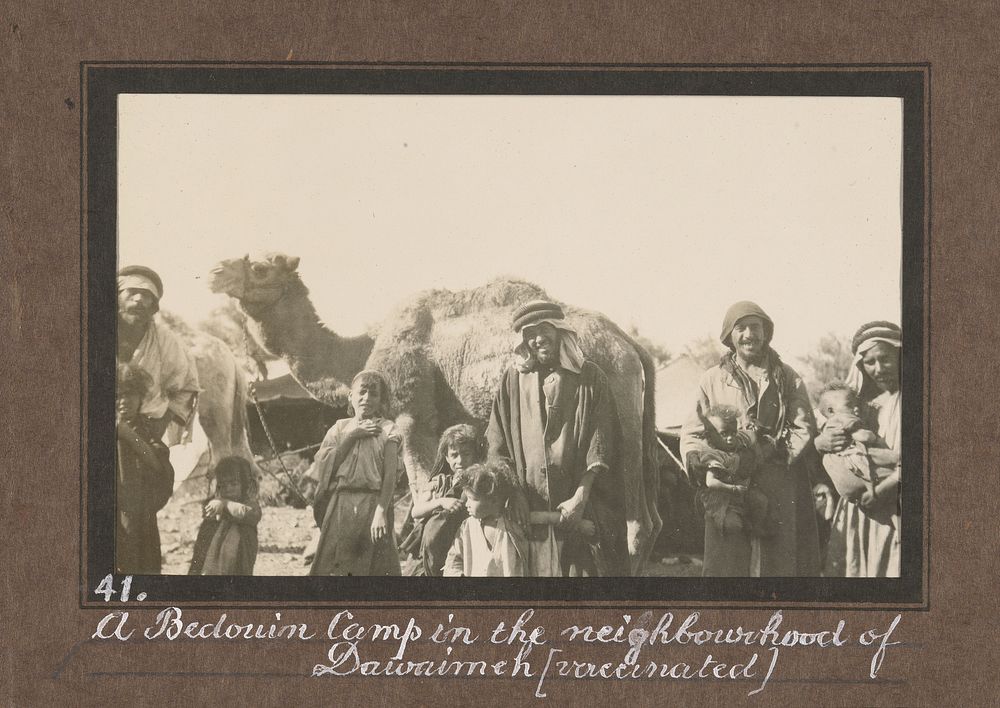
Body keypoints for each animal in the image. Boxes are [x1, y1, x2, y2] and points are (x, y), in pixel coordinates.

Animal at [209, 252, 664, 572]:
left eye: (261, 268)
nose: (215, 271)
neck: (365, 347)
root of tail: (630, 346)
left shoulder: (413, 419)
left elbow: (423, 494)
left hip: (618, 418)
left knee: (634, 527)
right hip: (640, 432)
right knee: (649, 521)